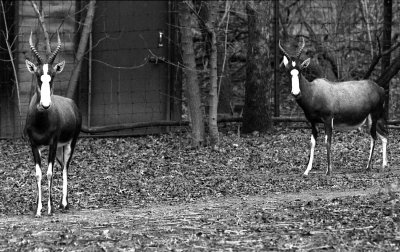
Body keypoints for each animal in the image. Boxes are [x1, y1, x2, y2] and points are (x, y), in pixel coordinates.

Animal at [24, 31, 81, 217]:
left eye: (53, 76)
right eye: (37, 75)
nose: (45, 105)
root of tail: (72, 104)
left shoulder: (53, 143)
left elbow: (49, 173)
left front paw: (49, 208)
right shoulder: (34, 145)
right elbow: (38, 174)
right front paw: (38, 209)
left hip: (69, 144)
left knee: (65, 168)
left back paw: (64, 204)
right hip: (59, 150)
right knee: (62, 165)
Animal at [278, 38, 388, 175]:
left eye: (300, 70)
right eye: (288, 71)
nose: (296, 93)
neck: (313, 91)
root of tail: (380, 88)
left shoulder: (328, 119)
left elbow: (328, 141)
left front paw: (328, 171)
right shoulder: (313, 122)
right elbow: (312, 143)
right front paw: (307, 171)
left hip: (374, 116)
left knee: (374, 137)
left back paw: (368, 167)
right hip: (371, 119)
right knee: (384, 135)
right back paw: (384, 165)